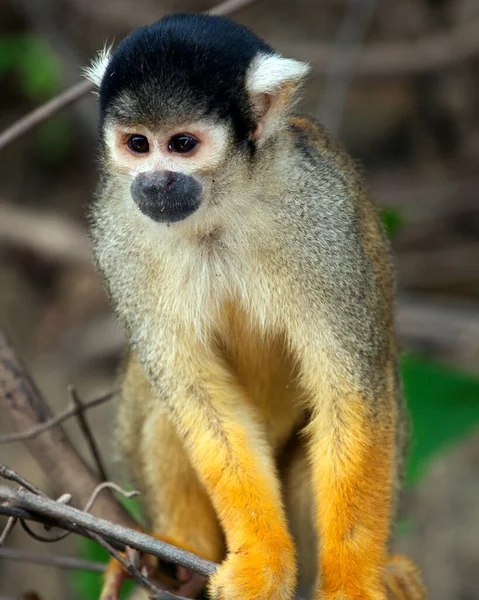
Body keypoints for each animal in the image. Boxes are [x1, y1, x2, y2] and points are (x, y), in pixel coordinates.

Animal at [87, 12, 428, 600]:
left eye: (182, 144)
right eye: (137, 144)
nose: (154, 182)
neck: (219, 208)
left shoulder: (319, 212)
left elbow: (350, 394)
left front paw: (352, 580)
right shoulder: (117, 227)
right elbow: (199, 398)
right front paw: (263, 558)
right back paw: (182, 549)